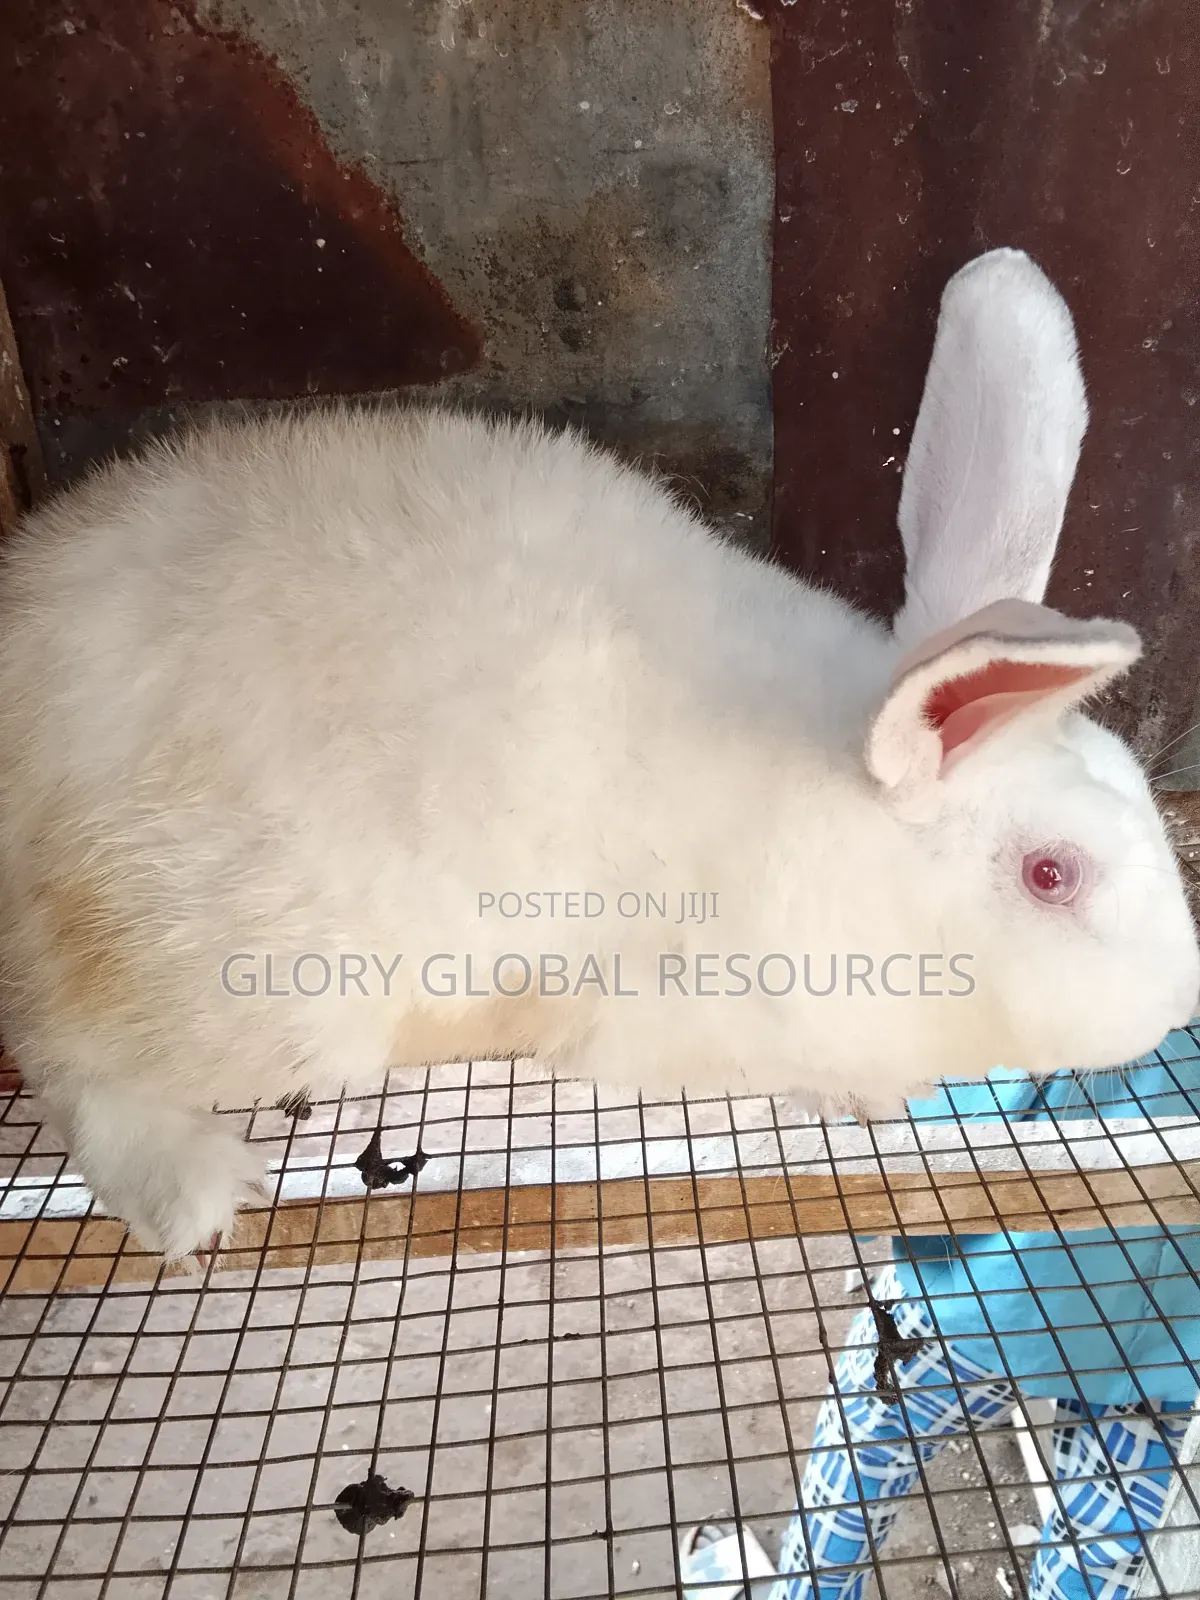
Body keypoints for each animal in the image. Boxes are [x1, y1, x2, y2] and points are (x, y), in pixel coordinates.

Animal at [0, 247, 1194, 1264]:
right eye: (1051, 874)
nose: (1181, 998)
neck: (843, 836)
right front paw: (858, 1099)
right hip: (239, 972)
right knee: (68, 1061)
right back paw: (200, 1191)